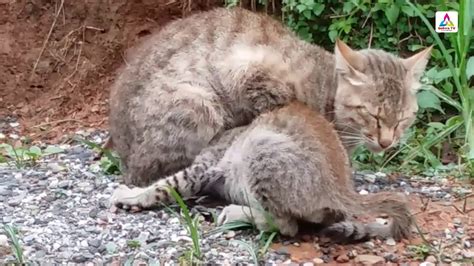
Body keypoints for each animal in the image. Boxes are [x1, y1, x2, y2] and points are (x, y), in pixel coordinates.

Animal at [110, 102, 412, 241]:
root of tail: (344, 189)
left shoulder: (204, 168)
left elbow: (167, 184)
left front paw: (131, 195)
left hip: (262, 146)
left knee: (286, 225)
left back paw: (234, 213)